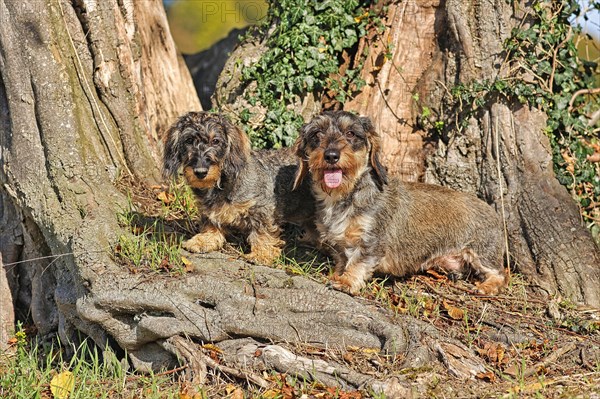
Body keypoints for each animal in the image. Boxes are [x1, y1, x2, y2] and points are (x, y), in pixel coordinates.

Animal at [163, 111, 314, 266]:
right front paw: (204, 240)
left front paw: (261, 253)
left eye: (215, 141)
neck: (222, 182)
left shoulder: (261, 208)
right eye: (188, 140)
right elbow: (211, 224)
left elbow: (261, 231)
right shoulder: (209, 210)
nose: (200, 172)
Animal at [294, 111, 506, 296]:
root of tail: (494, 212)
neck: (346, 194)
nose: (331, 155)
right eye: (316, 134)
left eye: (351, 133)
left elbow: (357, 263)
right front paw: (337, 275)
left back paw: (486, 287)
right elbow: (342, 260)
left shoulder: (371, 241)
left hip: (482, 253)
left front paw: (346, 281)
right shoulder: (338, 245)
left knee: (501, 275)